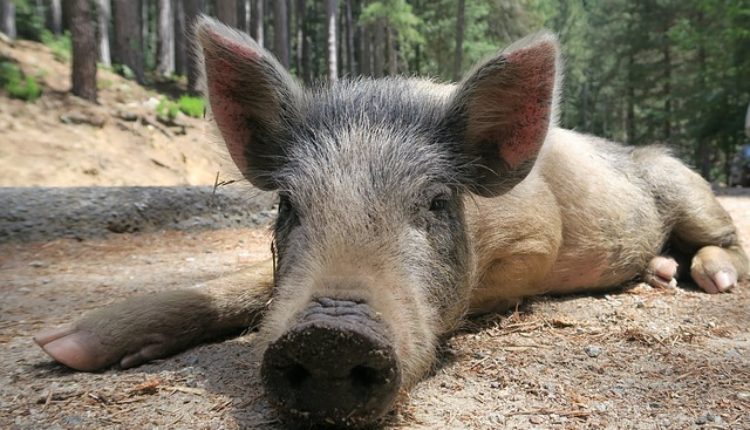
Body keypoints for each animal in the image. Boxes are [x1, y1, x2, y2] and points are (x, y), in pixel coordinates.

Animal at [33, 15, 748, 426]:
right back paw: (659, 273)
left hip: (683, 184)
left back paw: (708, 279)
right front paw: (62, 348)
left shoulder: (538, 240)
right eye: (287, 204)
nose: (328, 337)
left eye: (435, 202)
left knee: (725, 239)